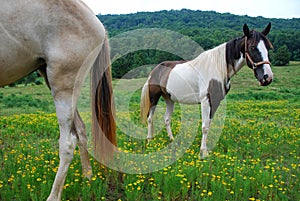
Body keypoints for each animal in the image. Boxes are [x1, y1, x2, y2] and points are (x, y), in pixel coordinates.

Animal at [0, 0, 116, 200]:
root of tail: (97, 23)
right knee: (80, 130)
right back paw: (88, 177)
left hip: (63, 83)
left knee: (68, 142)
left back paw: (54, 196)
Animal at [139, 23, 274, 158]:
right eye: (252, 47)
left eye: (268, 48)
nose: (267, 77)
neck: (217, 68)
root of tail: (154, 71)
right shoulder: (206, 101)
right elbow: (204, 126)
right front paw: (202, 153)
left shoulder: (215, 102)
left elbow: (208, 124)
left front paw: (206, 151)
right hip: (154, 98)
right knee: (150, 118)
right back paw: (149, 140)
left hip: (169, 98)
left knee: (167, 119)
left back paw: (172, 140)